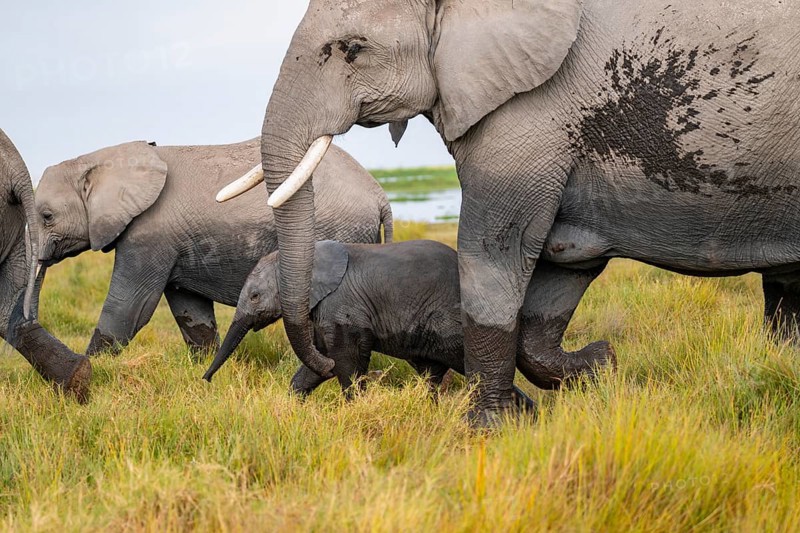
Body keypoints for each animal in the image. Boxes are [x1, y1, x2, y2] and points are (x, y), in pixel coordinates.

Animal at [35, 138, 393, 356]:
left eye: (46, 216)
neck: (99, 159)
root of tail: (379, 194)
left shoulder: (149, 237)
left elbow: (128, 308)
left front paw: (92, 370)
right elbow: (191, 311)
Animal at [203, 240, 539, 409]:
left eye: (255, 296)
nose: (204, 381)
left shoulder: (343, 307)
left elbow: (347, 361)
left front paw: (356, 408)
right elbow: (319, 363)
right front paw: (293, 409)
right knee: (430, 372)